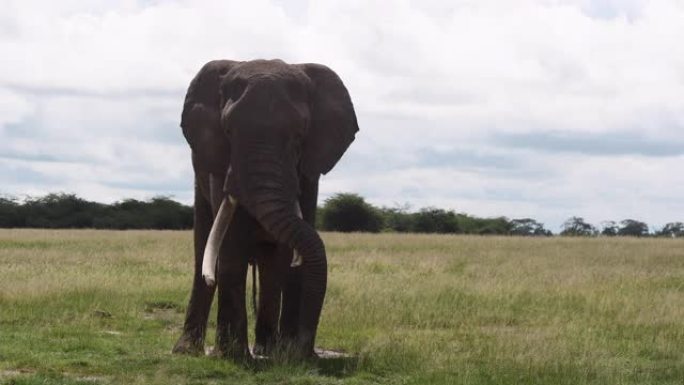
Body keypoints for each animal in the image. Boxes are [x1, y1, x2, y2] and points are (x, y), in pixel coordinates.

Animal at [172, 58, 358, 358]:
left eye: (299, 136)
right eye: (228, 132)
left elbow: (286, 252)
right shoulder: (218, 165)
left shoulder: (309, 173)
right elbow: (231, 243)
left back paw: (270, 349)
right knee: (203, 248)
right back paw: (187, 350)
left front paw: (281, 353)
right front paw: (231, 357)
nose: (304, 350)